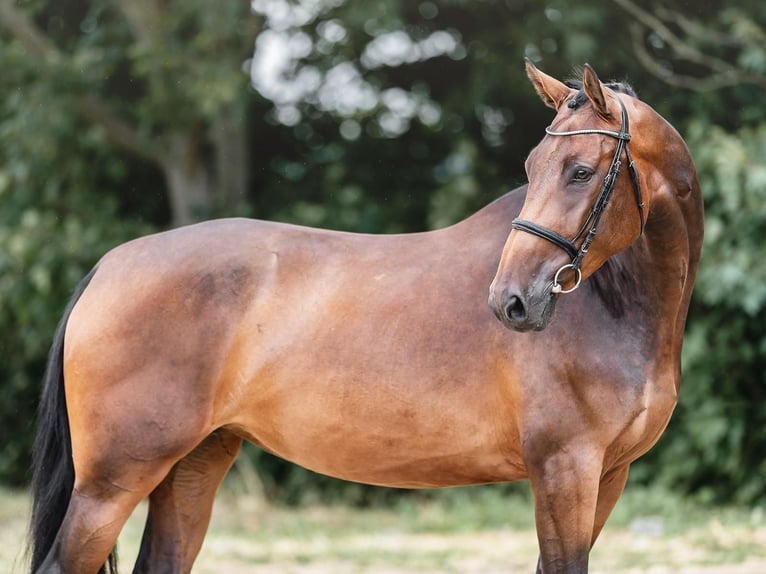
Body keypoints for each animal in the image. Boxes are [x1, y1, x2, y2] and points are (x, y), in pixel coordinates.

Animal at [28, 60, 704, 572]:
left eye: (581, 171)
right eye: (532, 169)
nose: (511, 301)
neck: (614, 308)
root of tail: (109, 266)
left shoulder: (605, 476)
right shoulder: (564, 469)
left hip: (191, 466)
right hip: (112, 483)